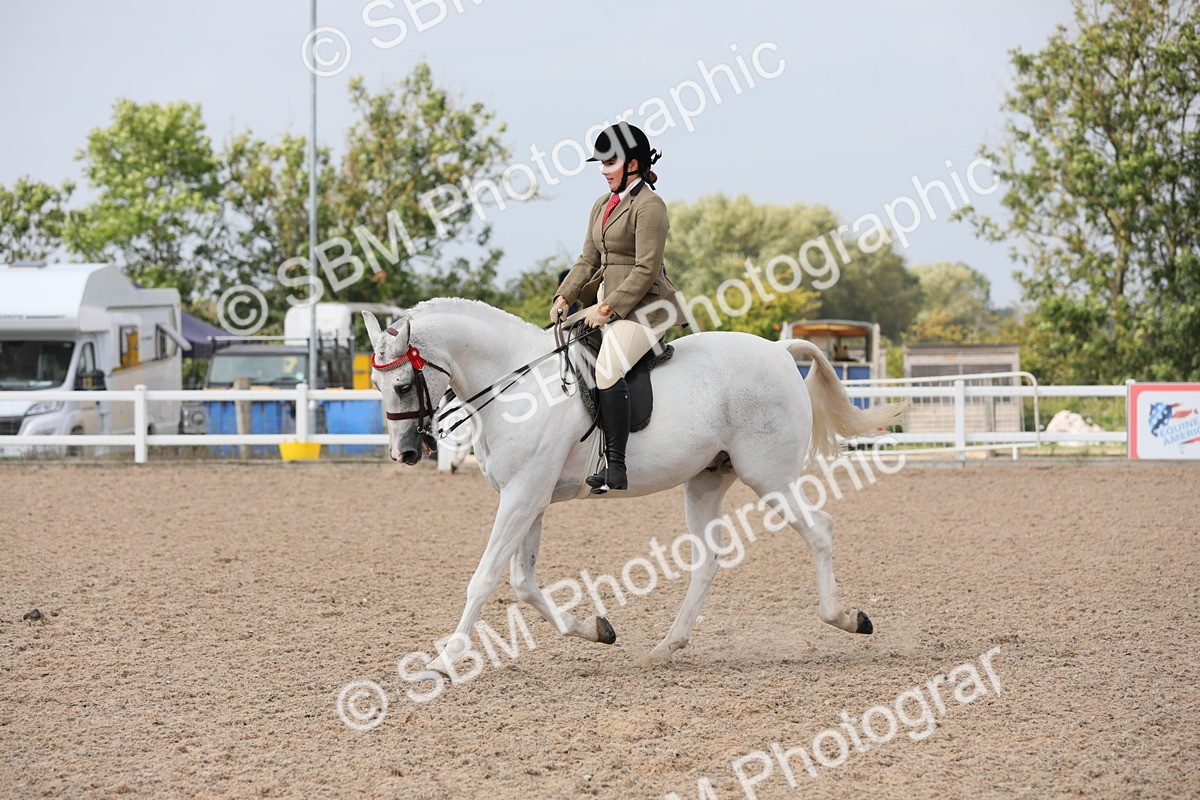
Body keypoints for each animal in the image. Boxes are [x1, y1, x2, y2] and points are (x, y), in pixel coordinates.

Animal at [362, 298, 902, 679]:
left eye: (404, 386)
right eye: (376, 383)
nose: (404, 453)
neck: (517, 387)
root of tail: (777, 351)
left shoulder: (522, 497)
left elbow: (485, 578)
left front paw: (444, 660)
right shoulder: (529, 498)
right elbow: (523, 583)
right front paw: (595, 630)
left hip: (769, 476)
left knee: (819, 531)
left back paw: (848, 618)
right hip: (707, 482)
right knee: (708, 560)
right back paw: (665, 648)